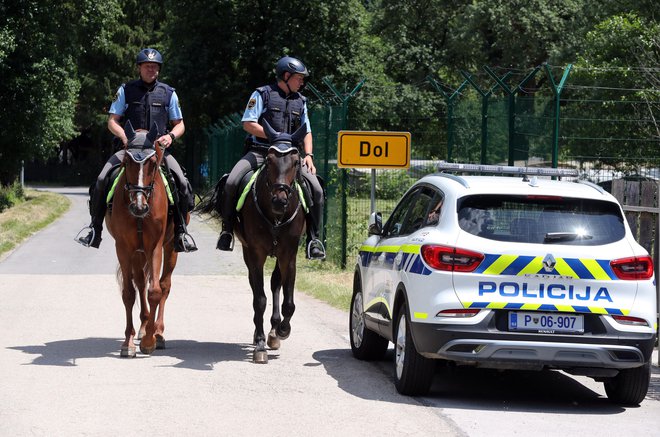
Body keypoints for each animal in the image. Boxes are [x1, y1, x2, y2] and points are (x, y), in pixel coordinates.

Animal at [104, 121, 180, 356]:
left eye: (153, 163)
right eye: (127, 161)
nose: (139, 207)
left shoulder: (155, 246)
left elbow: (155, 291)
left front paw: (149, 342)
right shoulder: (124, 248)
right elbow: (129, 293)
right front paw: (128, 342)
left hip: (170, 247)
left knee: (164, 285)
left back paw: (158, 332)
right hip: (137, 253)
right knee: (139, 282)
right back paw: (145, 325)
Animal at [199, 121, 306, 362]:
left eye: (296, 162)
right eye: (269, 160)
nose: (279, 200)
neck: (276, 216)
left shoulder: (289, 255)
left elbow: (289, 302)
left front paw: (282, 330)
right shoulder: (256, 253)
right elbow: (260, 300)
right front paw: (259, 345)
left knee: (276, 283)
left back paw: (274, 331)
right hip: (248, 252)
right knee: (256, 288)